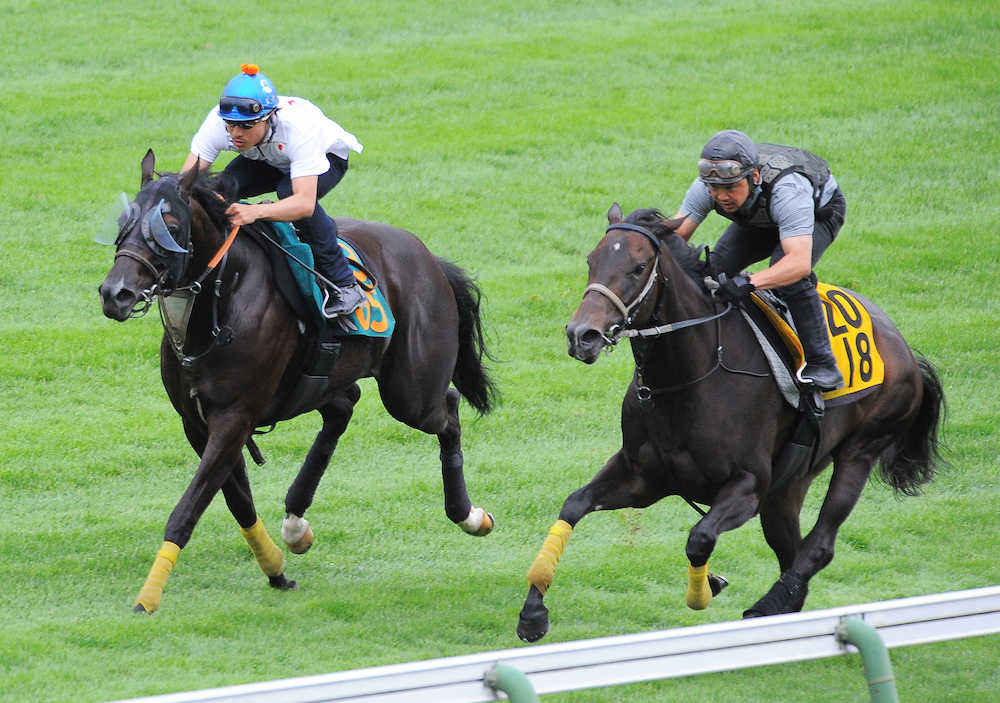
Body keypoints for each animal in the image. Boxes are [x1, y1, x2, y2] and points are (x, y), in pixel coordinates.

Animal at [99, 151, 498, 612]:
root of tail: (430, 259)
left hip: (411, 392)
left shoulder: (234, 417)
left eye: (171, 227)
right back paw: (295, 523)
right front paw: (275, 570)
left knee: (447, 409)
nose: (115, 294)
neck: (221, 304)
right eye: (123, 222)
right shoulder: (197, 423)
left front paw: (147, 598)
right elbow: (237, 502)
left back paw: (470, 515)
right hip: (326, 380)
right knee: (344, 409)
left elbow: (187, 509)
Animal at [516, 204, 944, 644]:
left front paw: (706, 589)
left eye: (638, 267)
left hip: (860, 450)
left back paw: (768, 606)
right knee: (791, 550)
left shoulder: (747, 486)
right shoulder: (643, 477)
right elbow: (574, 505)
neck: (687, 377)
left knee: (819, 544)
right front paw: (533, 611)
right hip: (788, 486)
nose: (581, 335)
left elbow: (700, 537)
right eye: (591, 260)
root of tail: (904, 347)